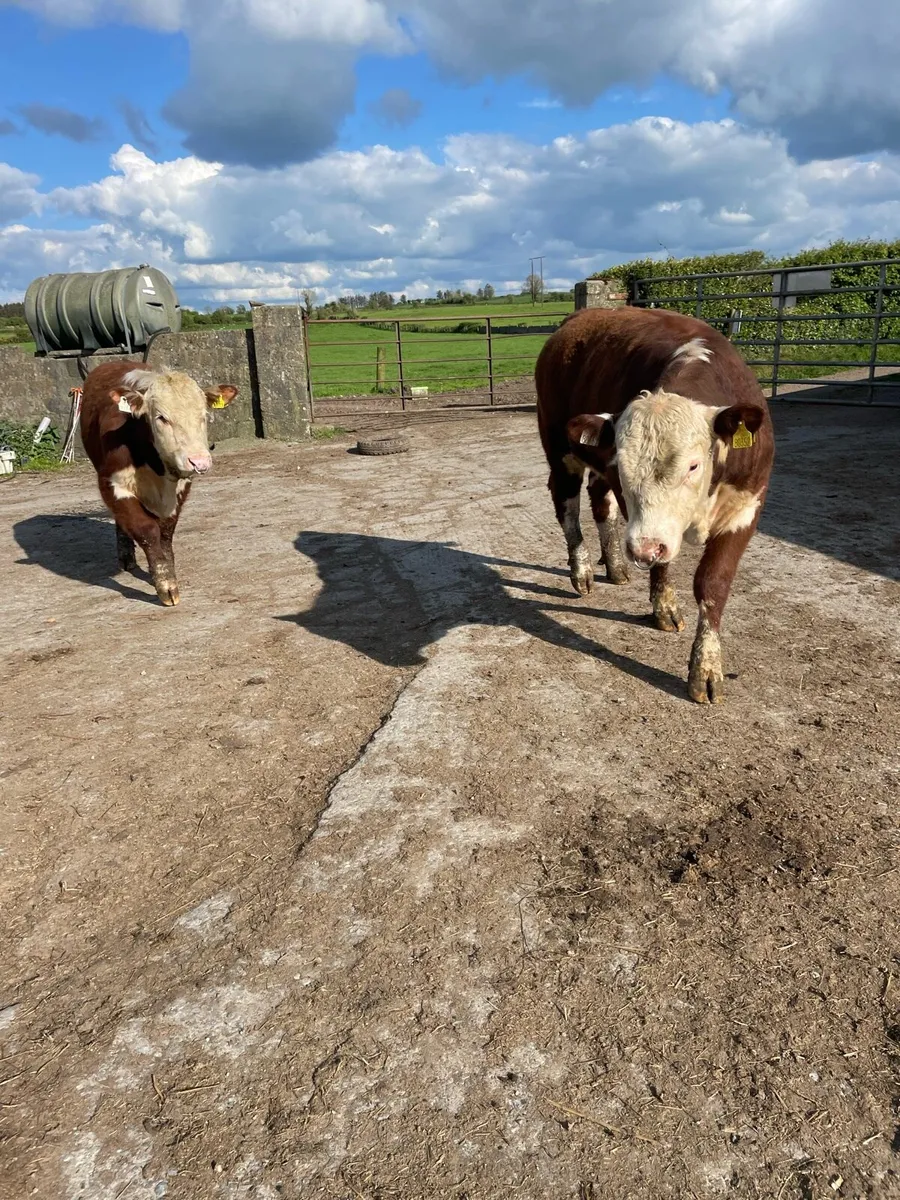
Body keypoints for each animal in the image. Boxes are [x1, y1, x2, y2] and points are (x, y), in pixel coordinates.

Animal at [79, 359, 238, 606]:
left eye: (203, 414)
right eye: (162, 417)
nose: (199, 461)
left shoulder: (180, 488)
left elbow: (165, 532)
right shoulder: (113, 484)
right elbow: (146, 530)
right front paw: (166, 585)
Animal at [535, 306, 774, 703]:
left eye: (693, 465)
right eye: (623, 465)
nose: (641, 549)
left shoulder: (747, 505)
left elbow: (713, 583)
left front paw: (707, 667)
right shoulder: (642, 519)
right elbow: (662, 562)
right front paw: (664, 607)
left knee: (600, 504)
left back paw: (615, 566)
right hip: (559, 449)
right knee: (566, 505)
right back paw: (581, 571)